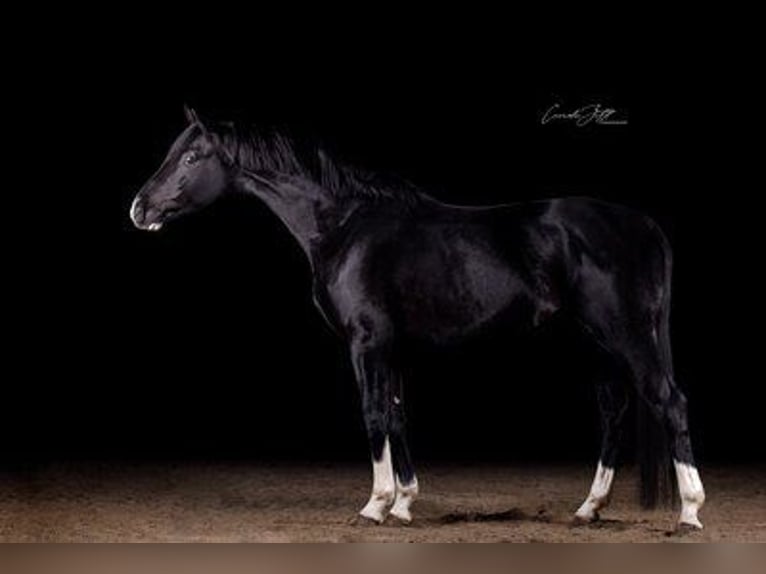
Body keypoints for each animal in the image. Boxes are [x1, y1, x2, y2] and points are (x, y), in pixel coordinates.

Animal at [129, 107, 705, 529]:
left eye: (192, 156)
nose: (139, 209)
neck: (346, 226)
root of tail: (644, 224)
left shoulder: (365, 344)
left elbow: (373, 414)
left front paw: (375, 505)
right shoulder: (392, 348)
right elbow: (398, 415)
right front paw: (405, 502)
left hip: (627, 335)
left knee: (670, 402)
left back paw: (690, 513)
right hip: (597, 343)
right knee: (614, 411)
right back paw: (589, 509)